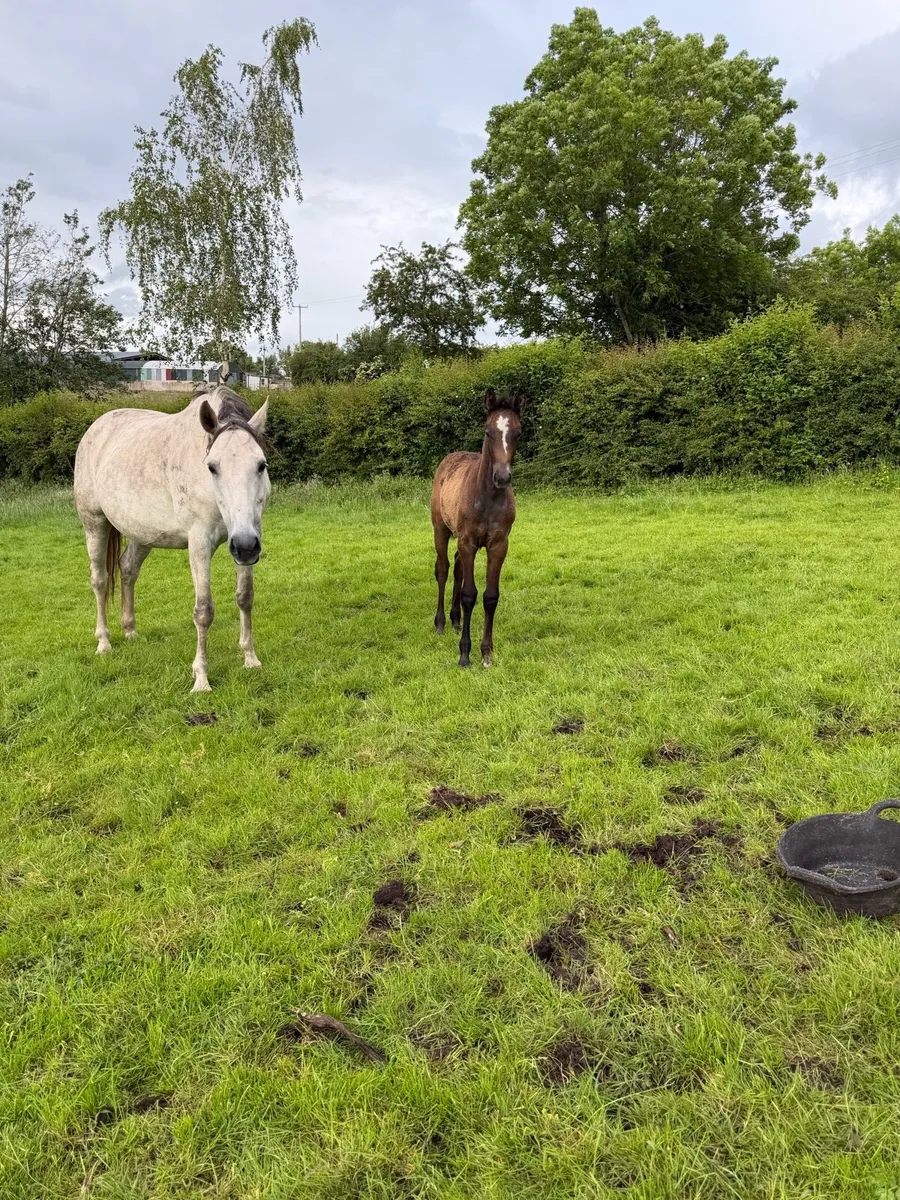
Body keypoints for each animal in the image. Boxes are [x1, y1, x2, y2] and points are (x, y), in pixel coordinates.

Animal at [73, 385, 271, 692]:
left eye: (261, 465)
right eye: (212, 467)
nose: (245, 547)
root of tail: (96, 428)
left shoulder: (248, 535)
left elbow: (245, 597)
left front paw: (250, 659)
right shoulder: (200, 543)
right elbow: (203, 611)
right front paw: (201, 678)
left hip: (141, 534)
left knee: (127, 569)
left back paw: (130, 631)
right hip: (94, 523)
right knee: (100, 580)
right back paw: (104, 643)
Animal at [430, 388, 524, 668]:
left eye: (518, 433)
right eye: (487, 431)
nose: (502, 477)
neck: (487, 497)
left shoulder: (499, 544)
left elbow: (490, 596)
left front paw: (486, 653)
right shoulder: (469, 541)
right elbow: (469, 594)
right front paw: (464, 654)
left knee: (458, 566)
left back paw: (455, 619)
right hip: (441, 529)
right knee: (443, 568)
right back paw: (440, 622)